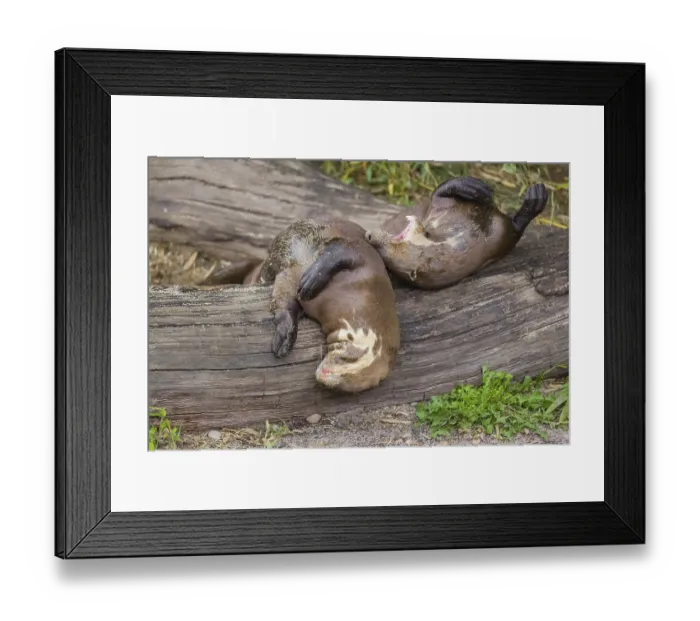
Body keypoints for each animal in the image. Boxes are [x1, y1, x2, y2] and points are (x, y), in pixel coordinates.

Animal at [362, 177, 549, 289]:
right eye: (383, 253)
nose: (369, 236)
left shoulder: (442, 209)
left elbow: (440, 193)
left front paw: (472, 187)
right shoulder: (498, 239)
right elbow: (515, 229)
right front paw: (533, 204)